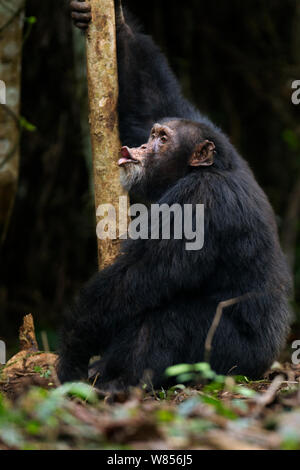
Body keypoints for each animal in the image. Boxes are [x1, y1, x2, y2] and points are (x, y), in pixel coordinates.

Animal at [57, 0, 292, 390]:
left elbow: (134, 280)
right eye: (153, 132)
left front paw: (73, 349)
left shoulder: (196, 203)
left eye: (163, 140)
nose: (140, 146)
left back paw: (121, 383)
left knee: (171, 317)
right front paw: (114, 20)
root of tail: (266, 365)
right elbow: (154, 99)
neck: (201, 170)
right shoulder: (216, 135)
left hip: (233, 362)